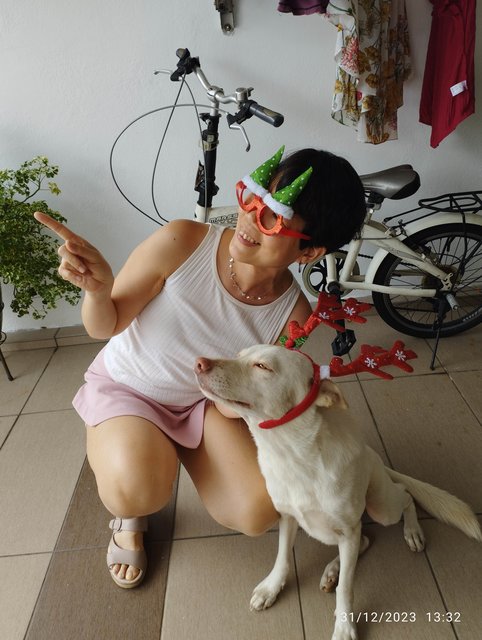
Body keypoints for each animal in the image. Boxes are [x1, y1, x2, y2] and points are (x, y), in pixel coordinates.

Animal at [195, 344, 478, 640]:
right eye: (239, 354)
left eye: (263, 366)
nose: (199, 363)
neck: (292, 456)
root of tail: (374, 456)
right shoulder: (288, 516)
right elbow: (282, 557)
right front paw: (272, 587)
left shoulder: (347, 528)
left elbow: (347, 588)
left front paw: (344, 625)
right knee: (365, 540)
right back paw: (333, 570)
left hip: (381, 507)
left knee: (404, 495)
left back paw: (411, 532)